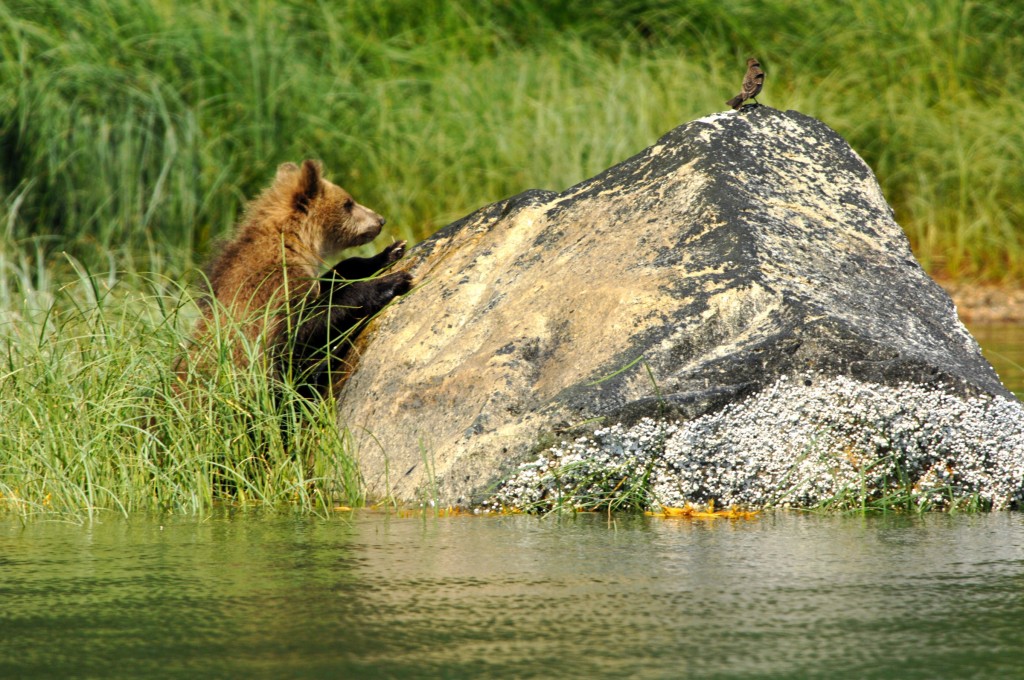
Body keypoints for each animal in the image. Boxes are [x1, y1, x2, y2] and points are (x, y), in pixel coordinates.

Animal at [176, 159, 411, 398]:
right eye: (348, 203)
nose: (380, 220)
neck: (296, 243)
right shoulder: (272, 295)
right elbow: (300, 333)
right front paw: (390, 282)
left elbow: (338, 274)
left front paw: (391, 251)